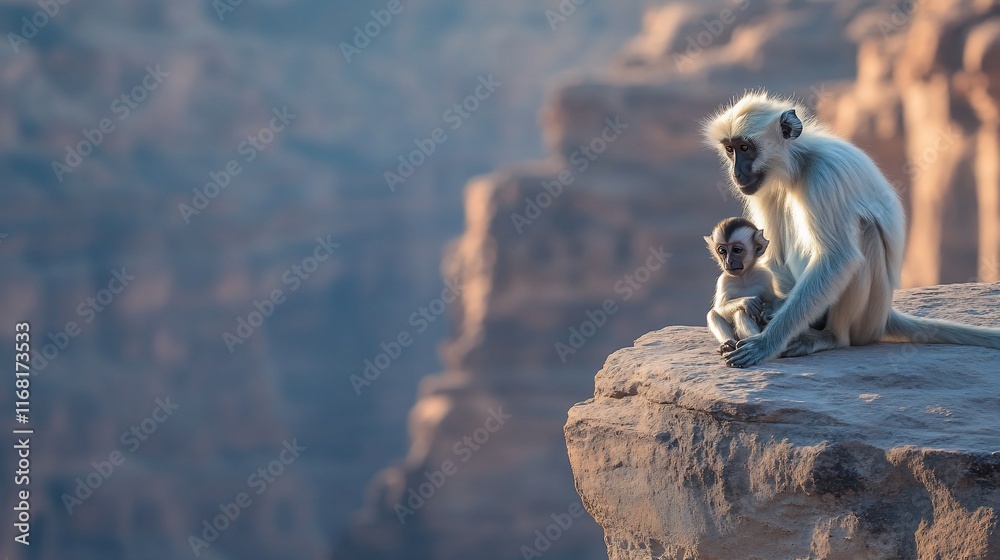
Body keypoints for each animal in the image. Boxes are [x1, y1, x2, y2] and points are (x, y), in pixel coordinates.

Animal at [705, 217, 783, 354]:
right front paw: (746, 301)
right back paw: (729, 345)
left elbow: (774, 300)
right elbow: (719, 309)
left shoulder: (765, 276)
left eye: (737, 250)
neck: (743, 278)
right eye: (722, 251)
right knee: (717, 313)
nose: (728, 261)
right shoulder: (724, 280)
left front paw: (768, 311)